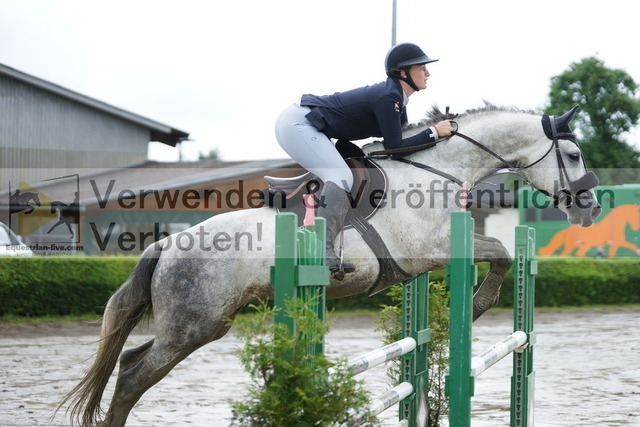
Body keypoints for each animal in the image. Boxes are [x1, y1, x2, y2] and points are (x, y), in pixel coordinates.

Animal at [60, 104, 601, 426]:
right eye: (574, 153)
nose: (591, 208)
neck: (437, 171)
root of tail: (168, 245)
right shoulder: (432, 248)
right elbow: (501, 253)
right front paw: (478, 305)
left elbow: (499, 253)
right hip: (193, 324)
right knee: (133, 376)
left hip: (203, 324)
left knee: (130, 363)